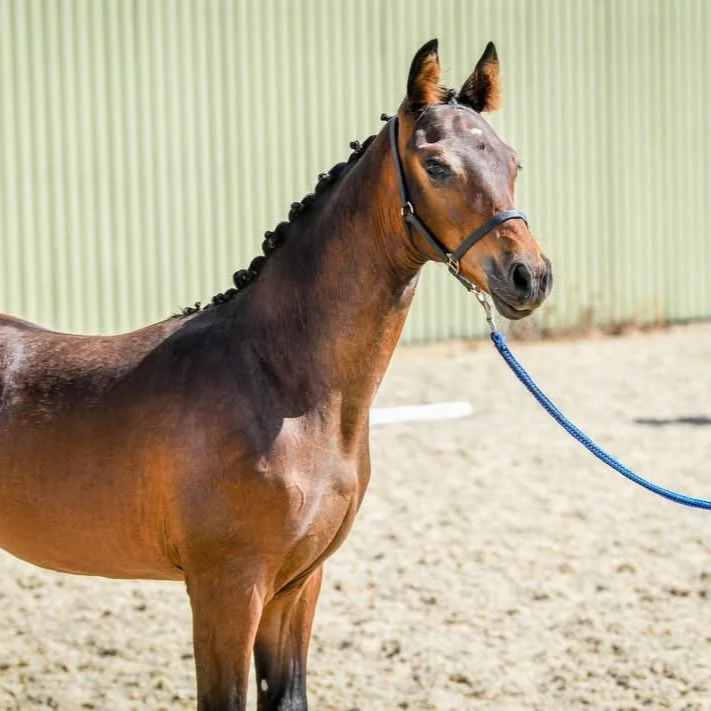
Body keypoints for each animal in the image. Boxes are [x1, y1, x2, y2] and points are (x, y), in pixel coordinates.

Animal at [0, 39, 551, 710]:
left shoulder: (297, 586)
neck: (280, 382)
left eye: (511, 160)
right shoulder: (228, 590)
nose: (529, 276)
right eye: (437, 165)